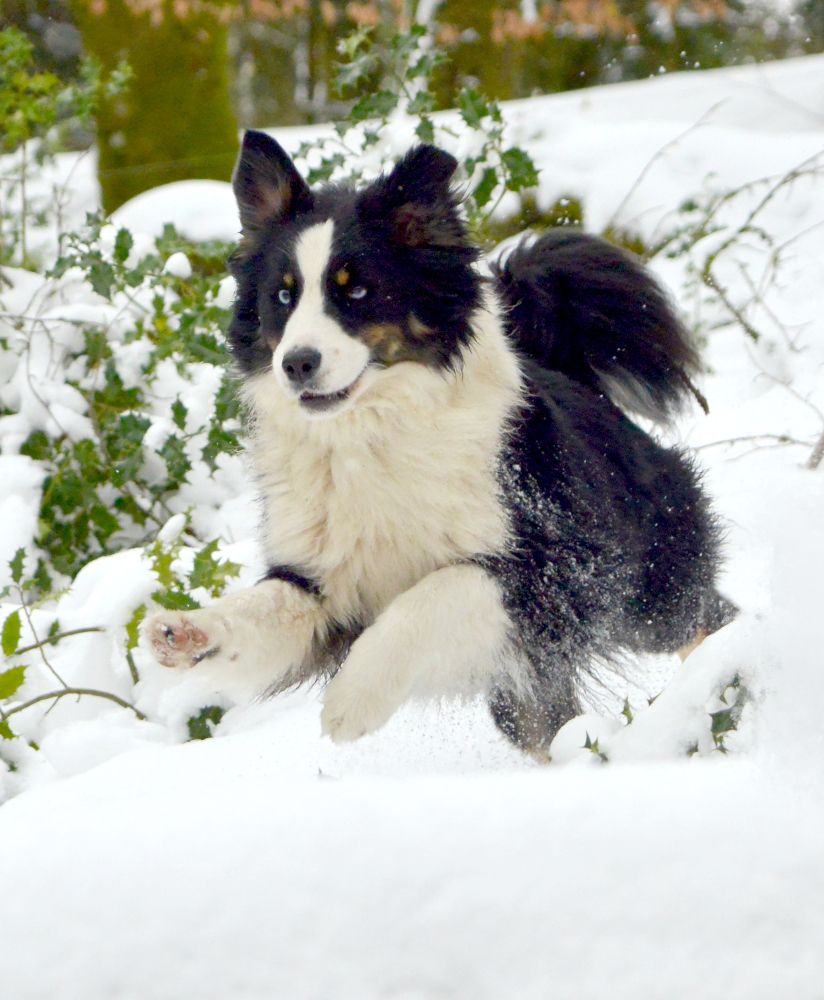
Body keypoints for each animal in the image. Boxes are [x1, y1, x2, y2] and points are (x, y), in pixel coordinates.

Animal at [145, 133, 732, 756]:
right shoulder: (326, 583)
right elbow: (263, 609)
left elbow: (430, 594)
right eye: (283, 296)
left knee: (705, 614)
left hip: (646, 586)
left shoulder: (546, 564)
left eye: (357, 290)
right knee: (550, 725)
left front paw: (352, 701)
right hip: (525, 681)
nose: (297, 363)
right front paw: (185, 631)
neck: (369, 432)